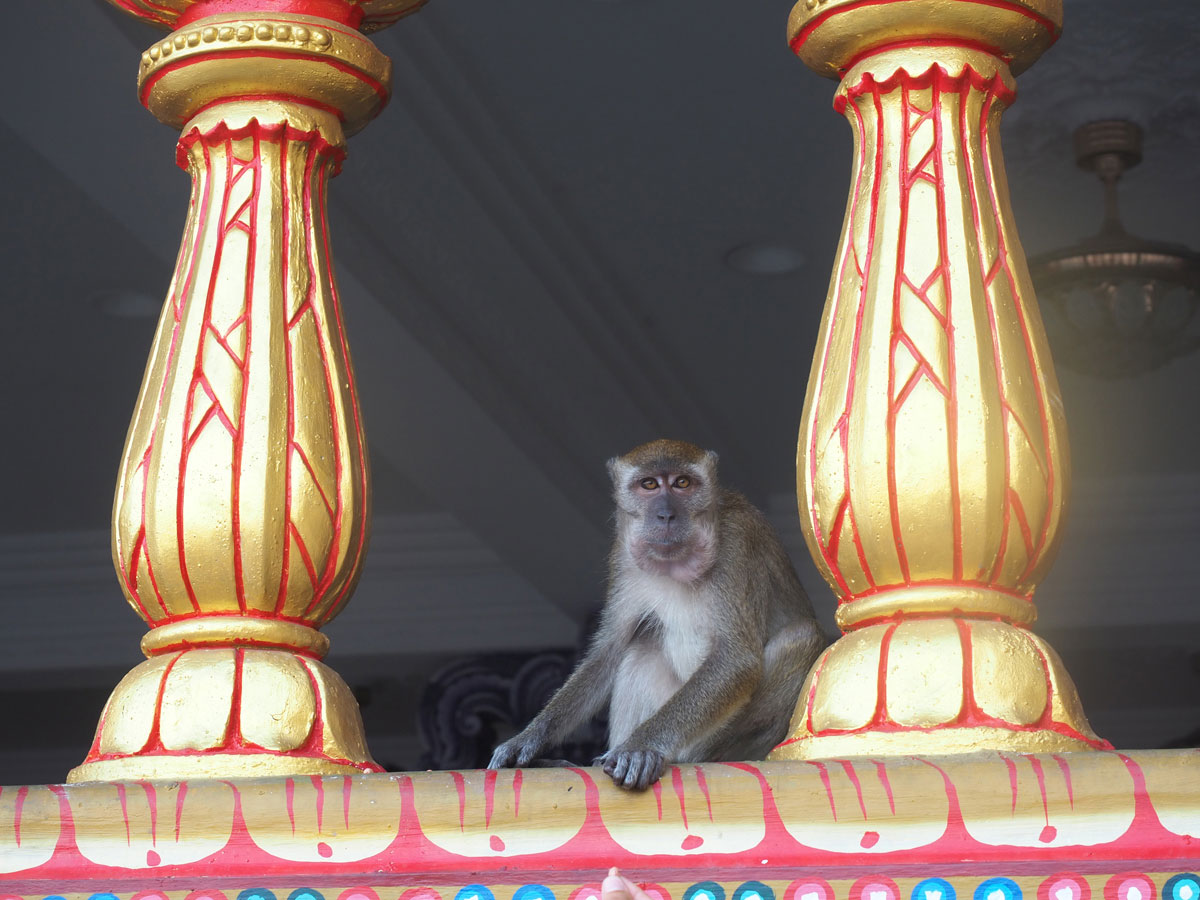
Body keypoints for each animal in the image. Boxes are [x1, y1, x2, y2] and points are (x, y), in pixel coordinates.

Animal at [487, 441, 825, 792]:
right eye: (649, 484)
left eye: (682, 483)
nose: (665, 514)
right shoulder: (622, 557)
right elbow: (608, 653)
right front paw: (528, 740)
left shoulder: (738, 542)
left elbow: (737, 659)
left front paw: (641, 747)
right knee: (642, 647)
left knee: (803, 637)